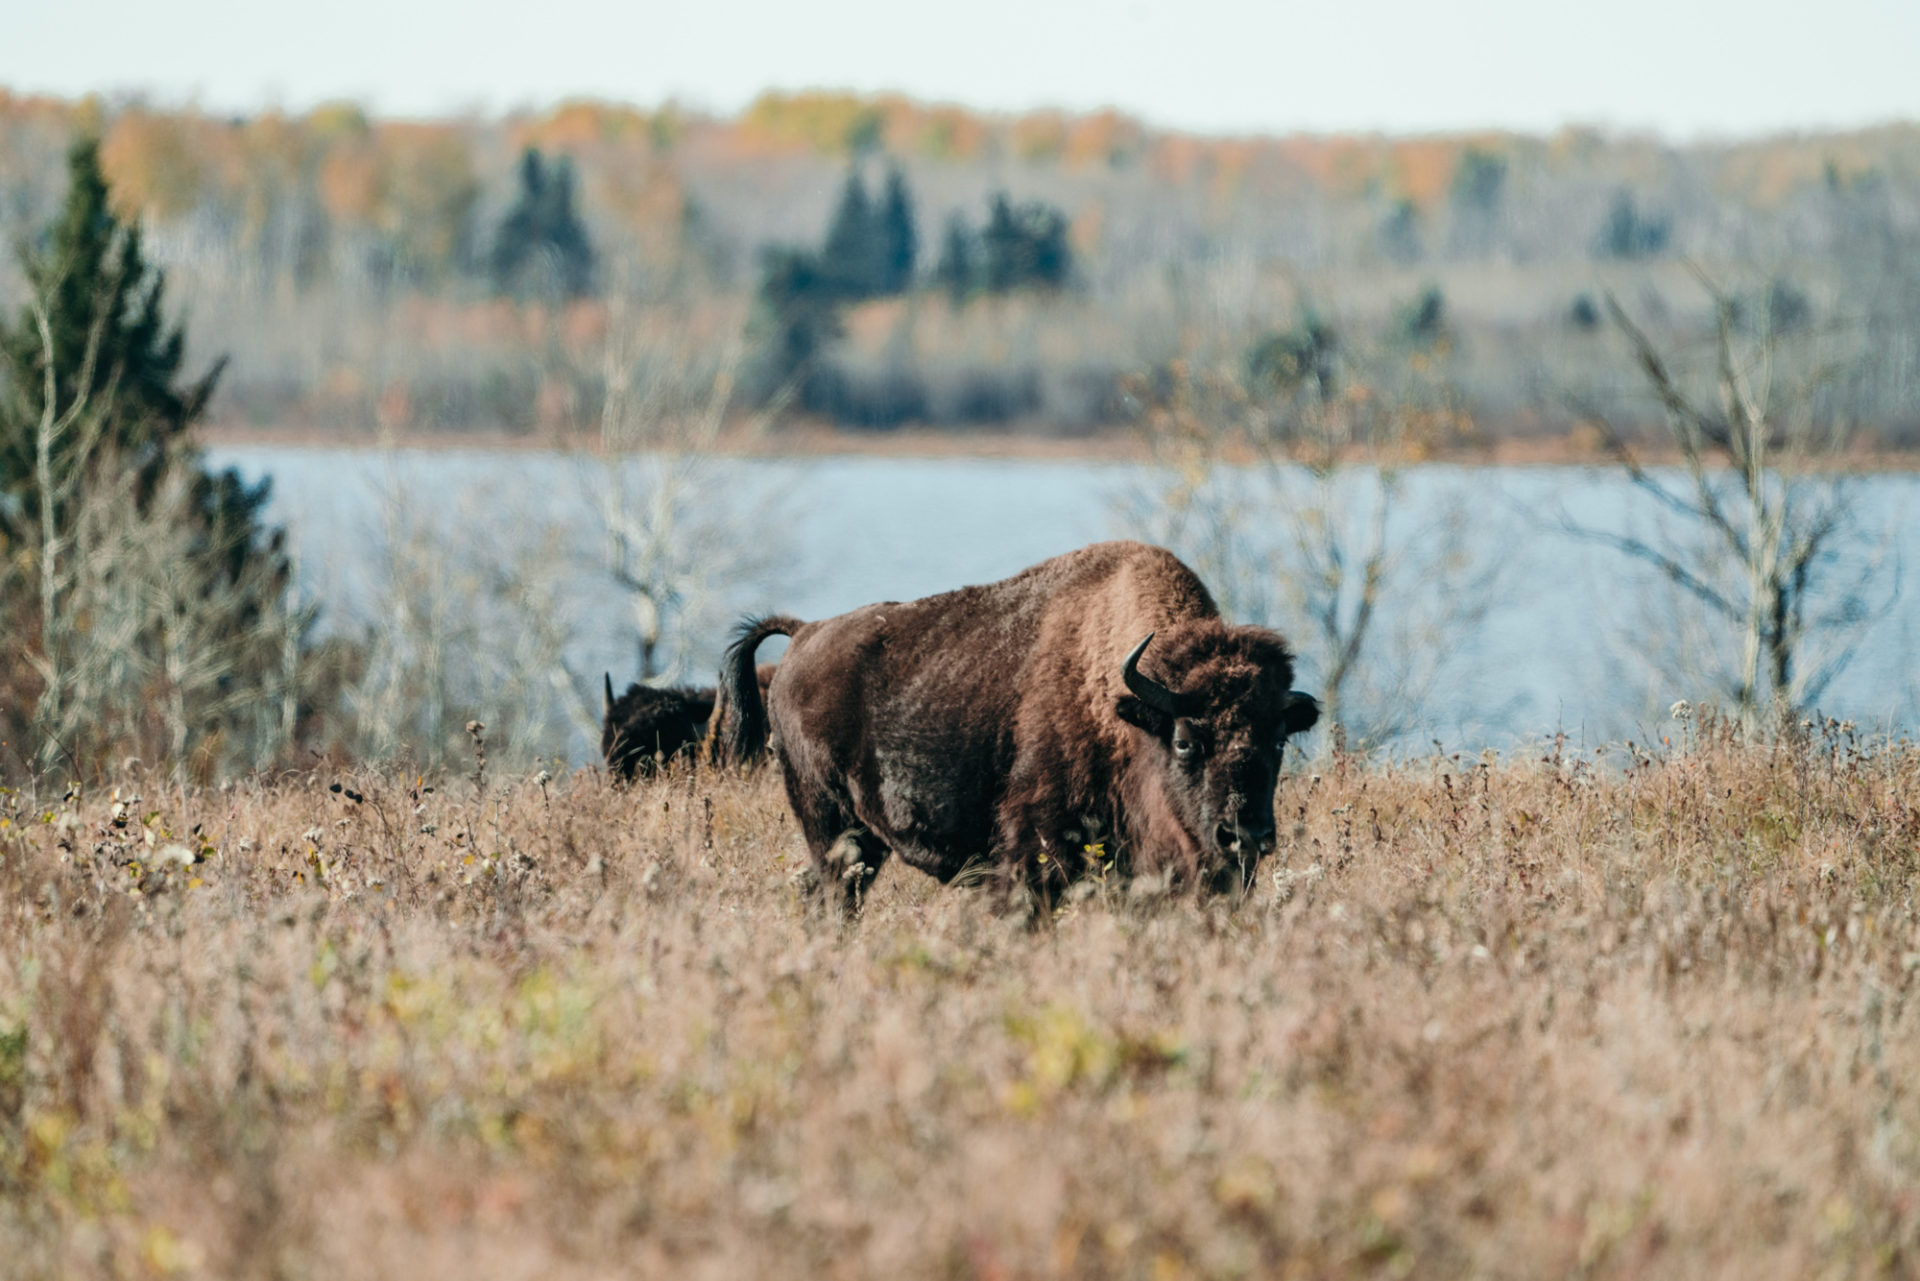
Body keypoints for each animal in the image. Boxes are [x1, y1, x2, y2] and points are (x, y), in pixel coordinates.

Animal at [721, 541, 1320, 910]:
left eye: (1278, 741)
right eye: (1184, 741)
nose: (1245, 836)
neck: (1123, 709)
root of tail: (804, 633)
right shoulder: (1032, 851)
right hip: (826, 816)